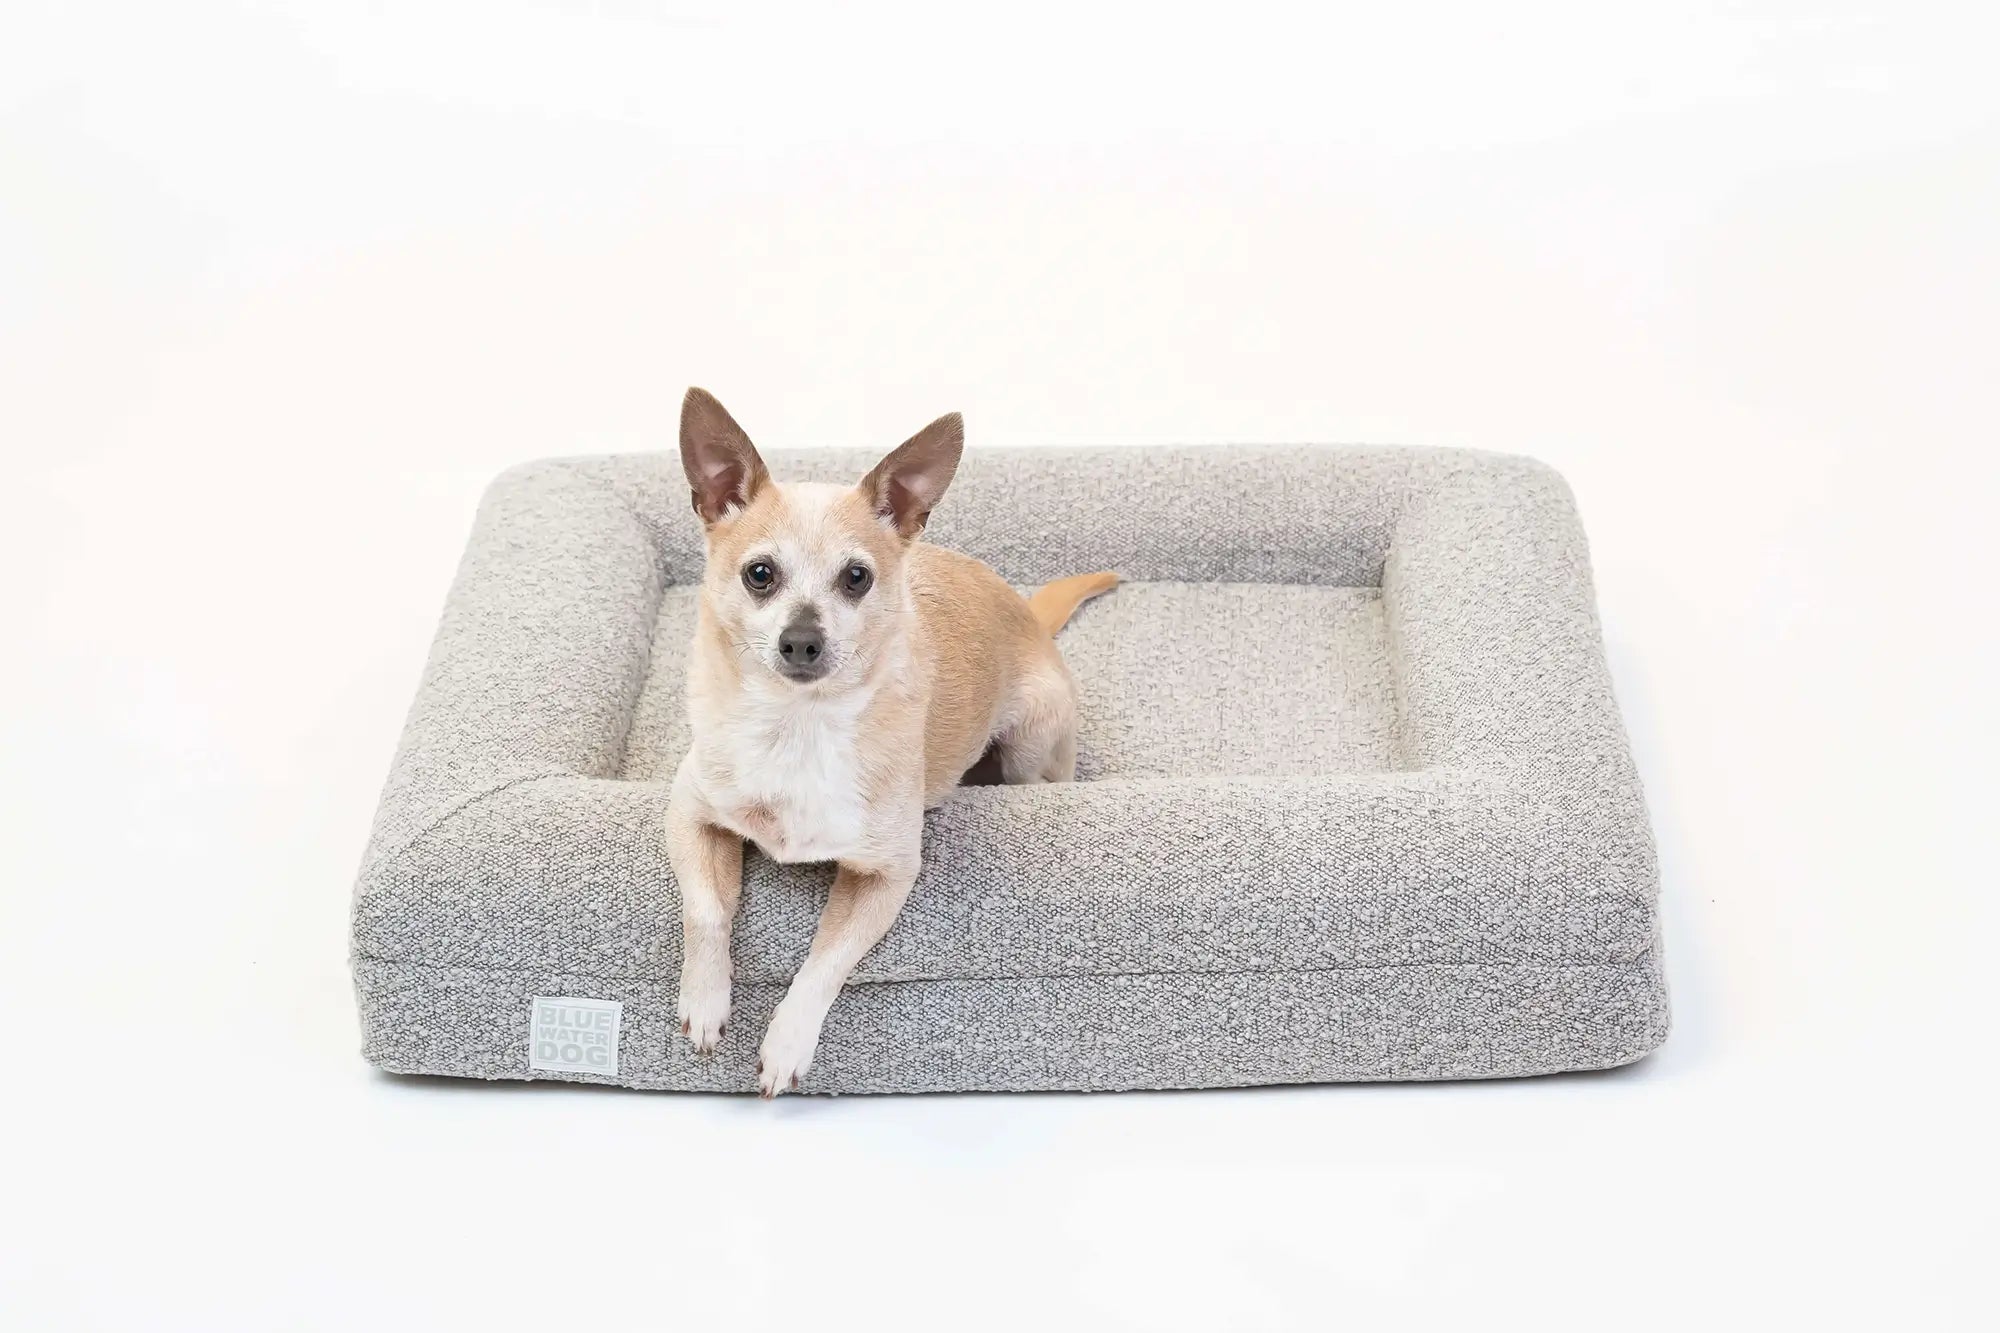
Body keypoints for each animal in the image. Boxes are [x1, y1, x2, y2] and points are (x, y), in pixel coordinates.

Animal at [668, 384, 1112, 1088]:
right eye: (759, 574)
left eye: (857, 578)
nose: (802, 640)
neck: (798, 724)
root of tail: (1029, 614)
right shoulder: (689, 812)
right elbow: (707, 908)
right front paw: (706, 1001)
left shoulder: (886, 876)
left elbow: (825, 962)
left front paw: (788, 1043)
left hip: (1031, 741)